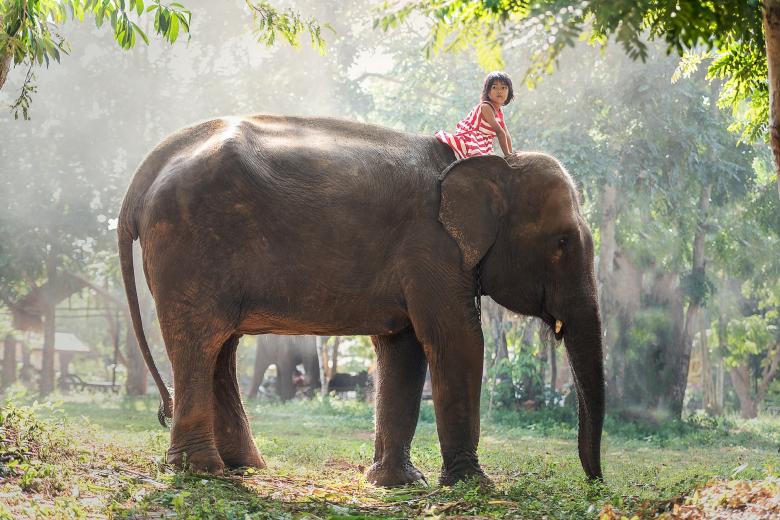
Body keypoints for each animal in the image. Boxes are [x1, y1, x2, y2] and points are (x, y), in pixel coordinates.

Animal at [118, 115, 605, 486]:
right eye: (562, 242)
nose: (594, 482)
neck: (488, 165)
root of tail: (147, 170)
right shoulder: (432, 248)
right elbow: (457, 341)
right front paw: (473, 485)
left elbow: (404, 350)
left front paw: (397, 483)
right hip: (189, 246)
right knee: (199, 342)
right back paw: (202, 471)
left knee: (222, 346)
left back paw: (244, 467)